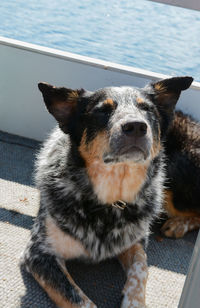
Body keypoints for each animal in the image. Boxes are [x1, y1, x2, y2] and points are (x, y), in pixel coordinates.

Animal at [20, 75, 192, 308]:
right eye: (102, 110)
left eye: (147, 109)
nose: (136, 126)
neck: (110, 200)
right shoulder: (39, 253)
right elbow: (78, 299)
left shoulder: (135, 241)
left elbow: (141, 268)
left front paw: (134, 301)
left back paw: (178, 224)